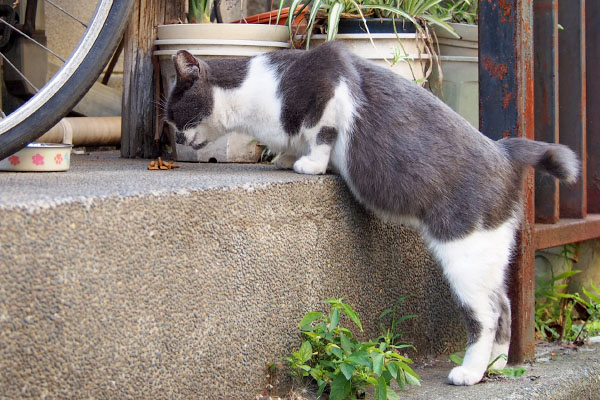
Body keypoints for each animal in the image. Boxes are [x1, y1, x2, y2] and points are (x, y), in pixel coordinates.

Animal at [164, 40, 576, 384]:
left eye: (172, 115)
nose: (174, 138)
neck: (256, 94)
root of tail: (505, 151)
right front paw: (284, 158)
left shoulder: (328, 86)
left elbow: (321, 133)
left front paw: (309, 164)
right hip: (491, 251)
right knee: (505, 307)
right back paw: (497, 365)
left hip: (464, 254)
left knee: (486, 316)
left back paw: (470, 372)